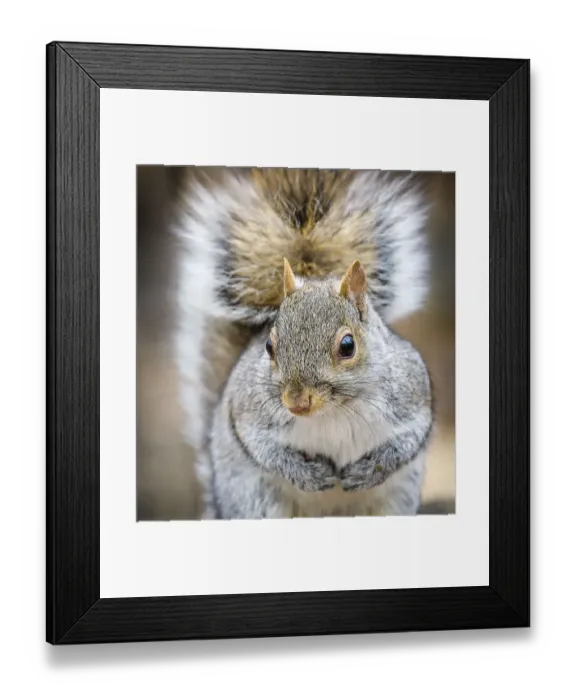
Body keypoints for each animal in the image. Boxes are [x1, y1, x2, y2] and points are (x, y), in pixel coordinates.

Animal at [171, 167, 434, 519]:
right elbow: (261, 446)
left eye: (348, 346)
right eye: (269, 346)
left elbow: (409, 440)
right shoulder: (248, 408)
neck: (334, 411)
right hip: (255, 502)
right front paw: (307, 475)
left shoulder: (412, 394)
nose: (296, 402)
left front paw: (368, 470)